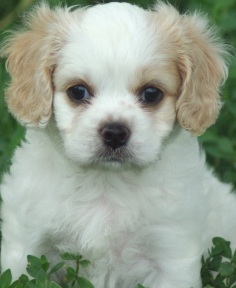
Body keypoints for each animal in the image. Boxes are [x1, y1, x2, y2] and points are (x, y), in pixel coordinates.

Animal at [0, 2, 234, 288]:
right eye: (78, 91)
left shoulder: (171, 252)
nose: (114, 132)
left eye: (151, 93)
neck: (106, 183)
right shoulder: (25, 239)